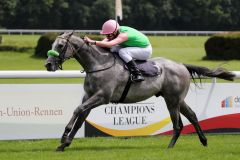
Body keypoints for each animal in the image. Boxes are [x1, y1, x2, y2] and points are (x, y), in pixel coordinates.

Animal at [44, 32, 234, 151]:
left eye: (60, 45)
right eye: (53, 44)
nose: (48, 64)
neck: (98, 64)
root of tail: (181, 65)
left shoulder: (102, 97)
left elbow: (77, 110)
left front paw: (64, 135)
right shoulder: (89, 96)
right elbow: (80, 117)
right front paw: (64, 143)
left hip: (172, 100)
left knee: (178, 124)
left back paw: (170, 147)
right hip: (177, 99)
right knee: (192, 116)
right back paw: (203, 140)